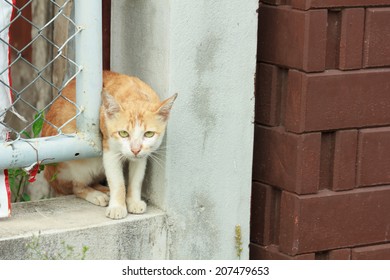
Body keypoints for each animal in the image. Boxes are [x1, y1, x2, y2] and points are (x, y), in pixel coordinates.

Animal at [41, 70, 177, 219]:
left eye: (149, 134)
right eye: (123, 133)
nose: (135, 149)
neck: (135, 93)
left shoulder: (143, 156)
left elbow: (136, 180)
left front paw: (133, 201)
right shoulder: (110, 151)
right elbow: (118, 183)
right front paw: (117, 207)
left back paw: (104, 190)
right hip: (77, 162)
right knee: (77, 187)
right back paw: (96, 195)